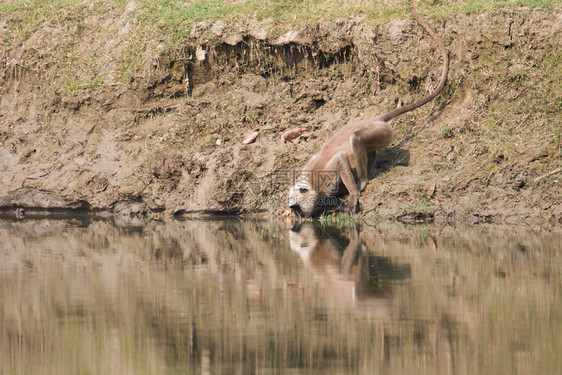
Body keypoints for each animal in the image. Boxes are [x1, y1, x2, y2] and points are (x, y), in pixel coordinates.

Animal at [286, 9, 448, 217]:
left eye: (297, 208)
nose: (298, 215)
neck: (311, 184)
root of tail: (374, 119)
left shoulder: (323, 178)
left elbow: (340, 159)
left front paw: (353, 194)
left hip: (383, 132)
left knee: (356, 138)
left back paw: (362, 180)